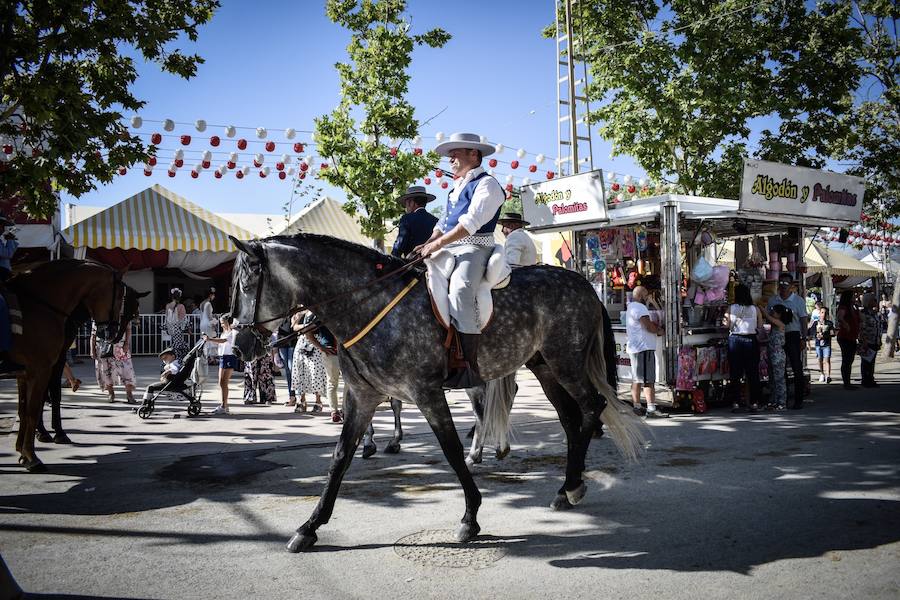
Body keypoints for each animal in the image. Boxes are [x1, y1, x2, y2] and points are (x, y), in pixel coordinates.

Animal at [5, 260, 127, 472]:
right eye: (120, 295)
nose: (113, 333)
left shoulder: (25, 371)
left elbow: (24, 409)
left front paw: (23, 451)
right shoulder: (41, 368)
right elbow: (34, 408)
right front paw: (32, 455)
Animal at [229, 234, 644, 552]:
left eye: (247, 285)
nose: (238, 347)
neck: (369, 306)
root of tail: (584, 283)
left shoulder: (426, 392)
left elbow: (451, 450)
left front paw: (470, 517)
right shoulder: (362, 396)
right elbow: (339, 458)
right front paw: (309, 527)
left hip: (565, 363)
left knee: (591, 408)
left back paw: (572, 486)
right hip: (544, 367)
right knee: (571, 420)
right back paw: (566, 487)